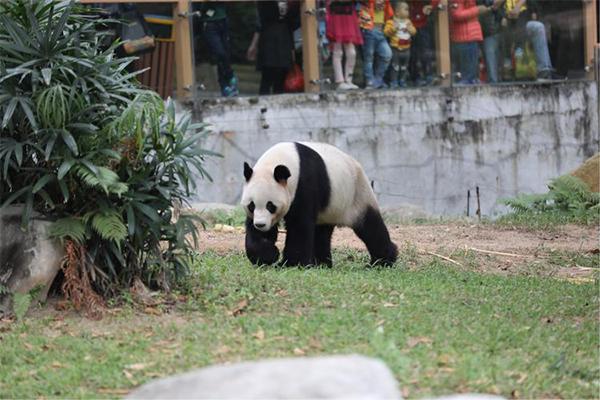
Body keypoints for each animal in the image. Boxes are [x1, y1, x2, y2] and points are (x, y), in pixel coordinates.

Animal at [239, 142, 398, 268]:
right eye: (251, 205)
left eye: (271, 206)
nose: (260, 224)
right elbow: (256, 233)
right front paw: (268, 255)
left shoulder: (305, 184)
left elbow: (300, 225)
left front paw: (291, 264)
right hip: (330, 208)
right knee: (322, 233)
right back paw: (322, 264)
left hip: (357, 196)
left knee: (370, 227)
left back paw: (382, 261)